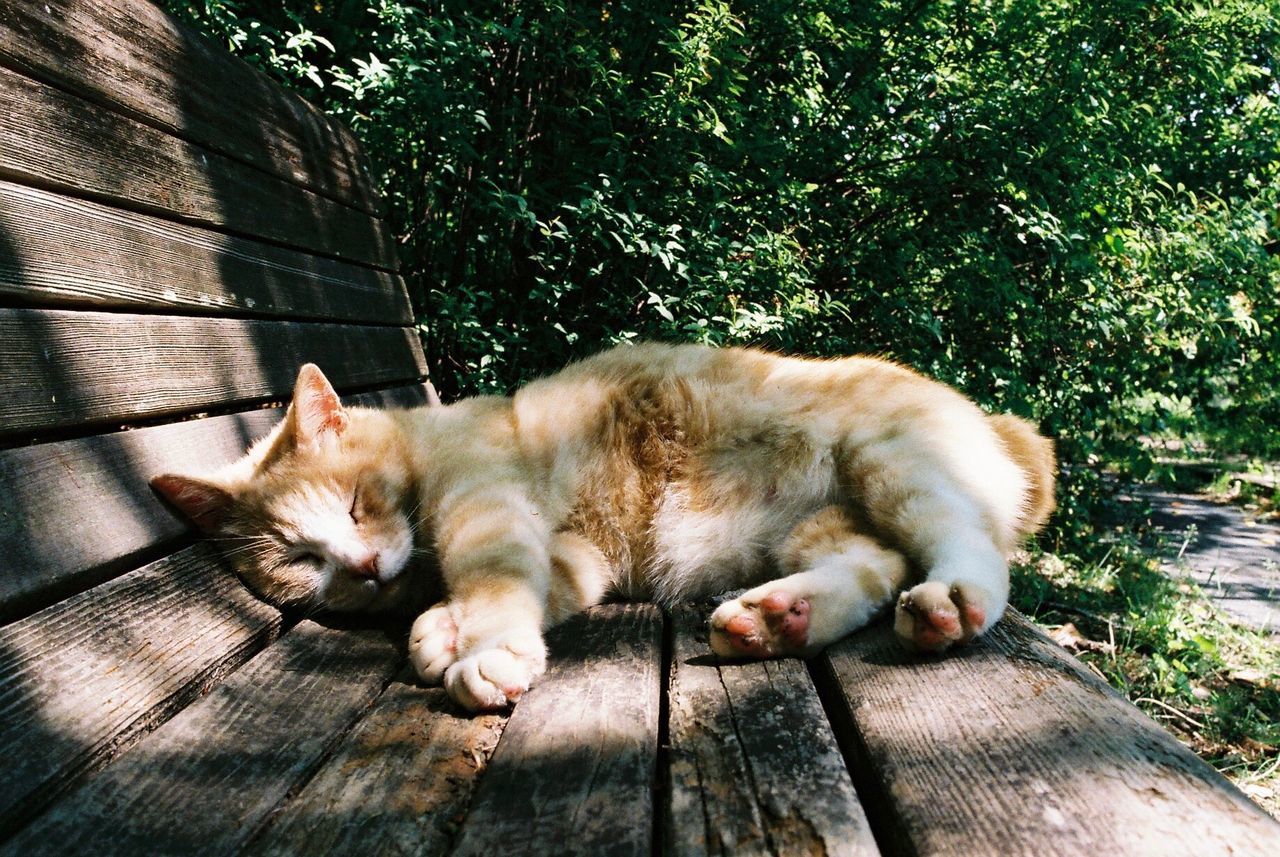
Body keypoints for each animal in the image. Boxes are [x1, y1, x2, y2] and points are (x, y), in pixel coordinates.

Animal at [149, 342, 1054, 711]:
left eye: (353, 505)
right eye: (302, 559)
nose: (366, 567)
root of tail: (997, 420)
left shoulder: (488, 512)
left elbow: (496, 584)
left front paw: (479, 646)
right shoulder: (577, 554)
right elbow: (529, 587)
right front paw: (441, 630)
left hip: (894, 463)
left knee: (970, 551)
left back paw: (951, 600)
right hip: (818, 532)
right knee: (872, 571)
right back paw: (778, 618)